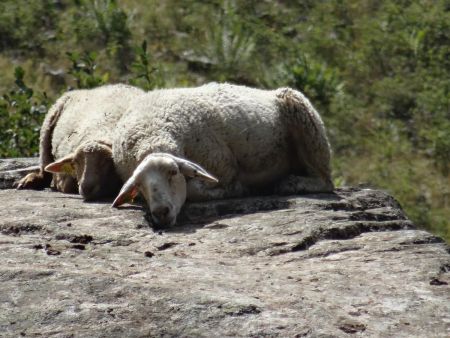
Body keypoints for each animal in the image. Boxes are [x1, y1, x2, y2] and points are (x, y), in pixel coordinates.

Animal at [14, 84, 145, 199]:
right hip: (47, 125)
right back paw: (30, 180)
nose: (86, 188)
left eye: (107, 162)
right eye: (76, 162)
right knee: (44, 168)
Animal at [110, 82, 332, 227]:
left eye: (173, 172)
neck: (151, 135)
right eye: (139, 185)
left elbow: (196, 190)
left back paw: (291, 183)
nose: (161, 212)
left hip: (308, 124)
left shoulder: (224, 166)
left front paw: (236, 190)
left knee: (325, 181)